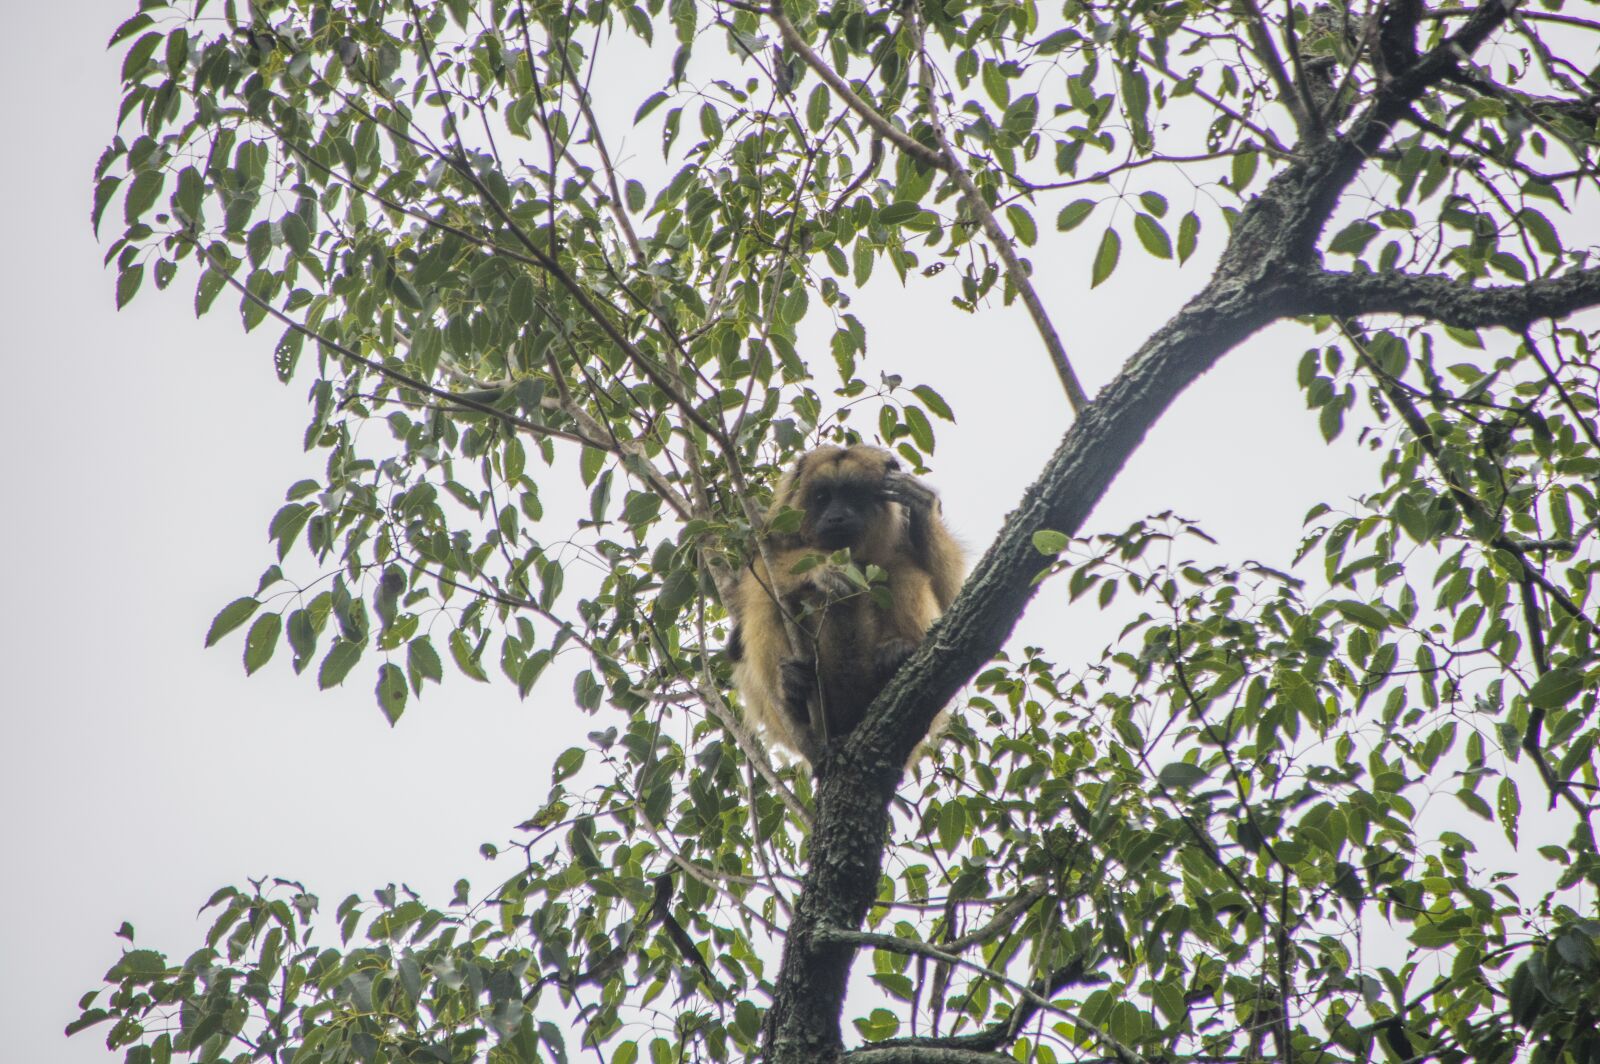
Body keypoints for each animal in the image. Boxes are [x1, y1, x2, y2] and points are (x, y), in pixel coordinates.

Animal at [727, 444, 964, 765]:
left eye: (853, 494)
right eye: (822, 497)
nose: (836, 517)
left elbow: (949, 595)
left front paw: (921, 505)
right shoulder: (771, 530)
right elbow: (764, 576)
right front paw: (825, 569)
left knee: (902, 571)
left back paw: (897, 657)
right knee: (766, 605)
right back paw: (793, 691)